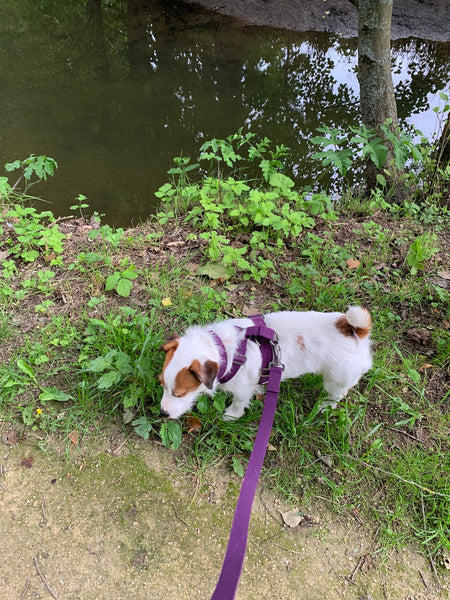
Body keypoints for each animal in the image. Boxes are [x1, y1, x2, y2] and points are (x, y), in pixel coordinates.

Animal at [160, 308, 370, 420]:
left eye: (180, 394)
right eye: (162, 384)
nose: (162, 413)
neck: (225, 350)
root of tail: (352, 330)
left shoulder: (242, 389)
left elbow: (239, 403)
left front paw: (231, 415)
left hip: (337, 379)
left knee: (336, 395)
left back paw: (325, 406)